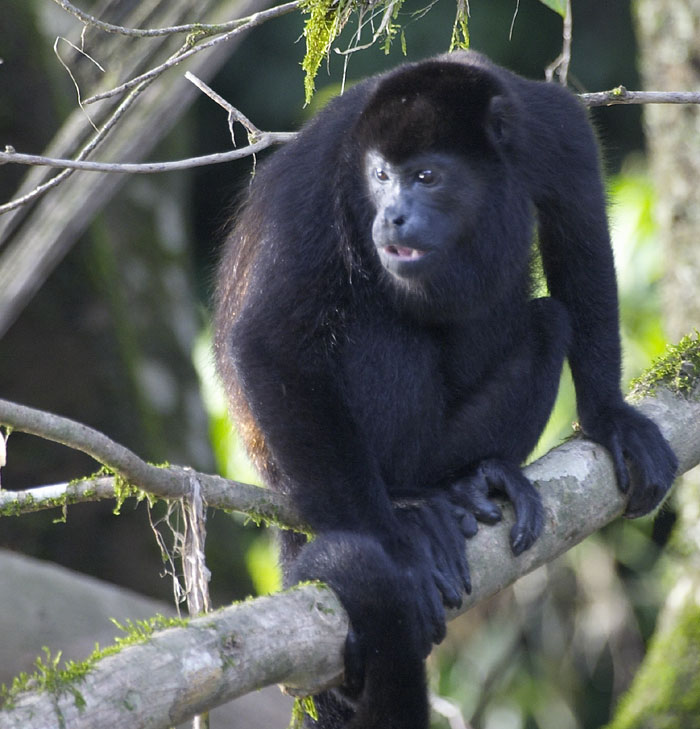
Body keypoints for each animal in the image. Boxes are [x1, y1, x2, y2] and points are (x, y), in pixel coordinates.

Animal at [212, 52, 672, 728]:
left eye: (427, 177)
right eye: (380, 177)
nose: (392, 214)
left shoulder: (554, 130)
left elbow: (579, 238)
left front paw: (610, 418)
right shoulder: (320, 177)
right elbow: (270, 342)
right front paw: (396, 547)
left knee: (548, 320)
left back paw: (470, 478)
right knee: (375, 326)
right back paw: (408, 500)